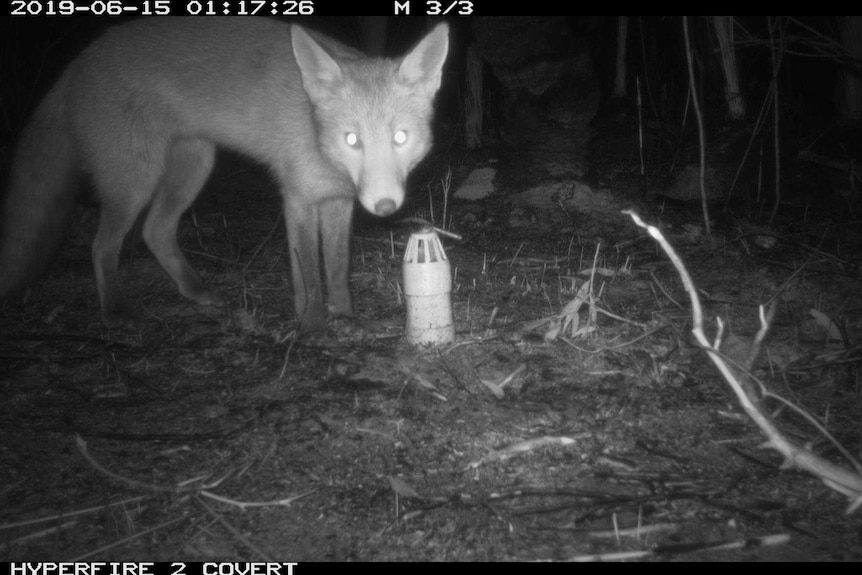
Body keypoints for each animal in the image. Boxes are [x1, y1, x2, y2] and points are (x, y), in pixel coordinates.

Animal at [1, 18, 452, 340]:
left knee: (154, 231)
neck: (315, 136)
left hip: (193, 166)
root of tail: (80, 60)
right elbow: (308, 269)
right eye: (352, 140)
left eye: (400, 138)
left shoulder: (337, 202)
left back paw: (196, 292)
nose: (385, 206)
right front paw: (313, 328)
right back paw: (115, 311)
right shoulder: (298, 198)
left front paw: (344, 317)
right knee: (102, 246)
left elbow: (337, 267)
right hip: (134, 181)